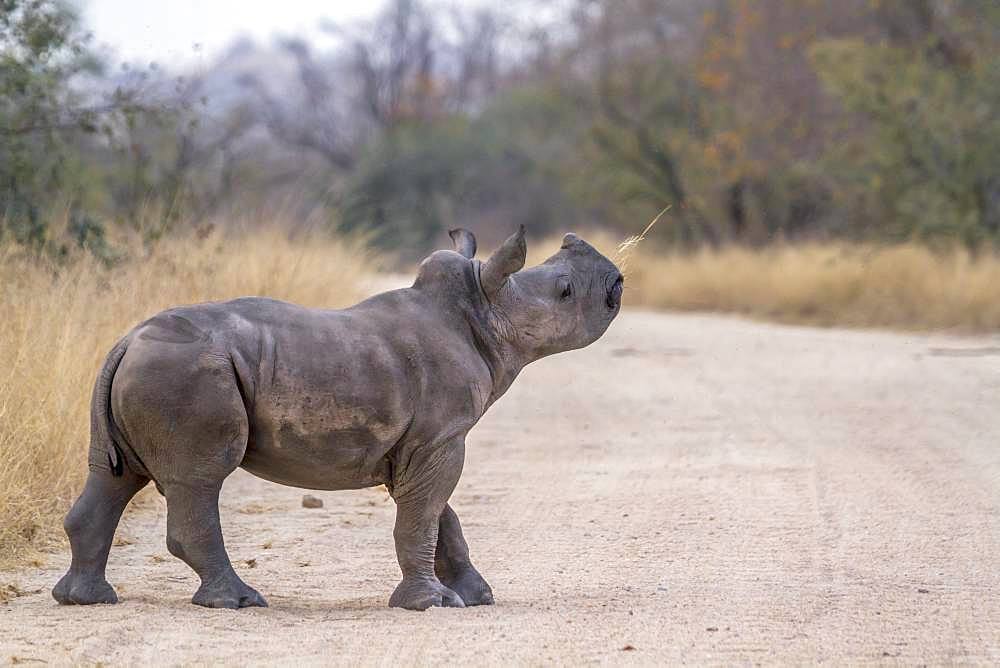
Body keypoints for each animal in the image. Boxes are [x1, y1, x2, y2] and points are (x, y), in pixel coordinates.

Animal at [54, 230, 620, 612]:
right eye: (565, 291)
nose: (614, 278)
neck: (485, 310)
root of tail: (126, 341)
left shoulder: (424, 441)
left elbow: (441, 515)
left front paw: (475, 596)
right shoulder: (439, 436)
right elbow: (424, 514)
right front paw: (431, 604)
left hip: (155, 369)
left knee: (117, 477)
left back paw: (86, 599)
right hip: (187, 372)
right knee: (199, 478)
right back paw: (240, 601)